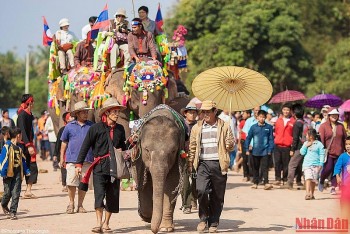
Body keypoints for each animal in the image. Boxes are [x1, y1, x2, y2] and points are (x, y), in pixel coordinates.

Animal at [131, 106, 186, 234]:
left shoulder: (177, 158)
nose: (154, 231)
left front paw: (166, 228)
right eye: (146, 150)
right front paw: (147, 217)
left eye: (173, 151)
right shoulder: (140, 158)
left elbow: (171, 184)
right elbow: (144, 184)